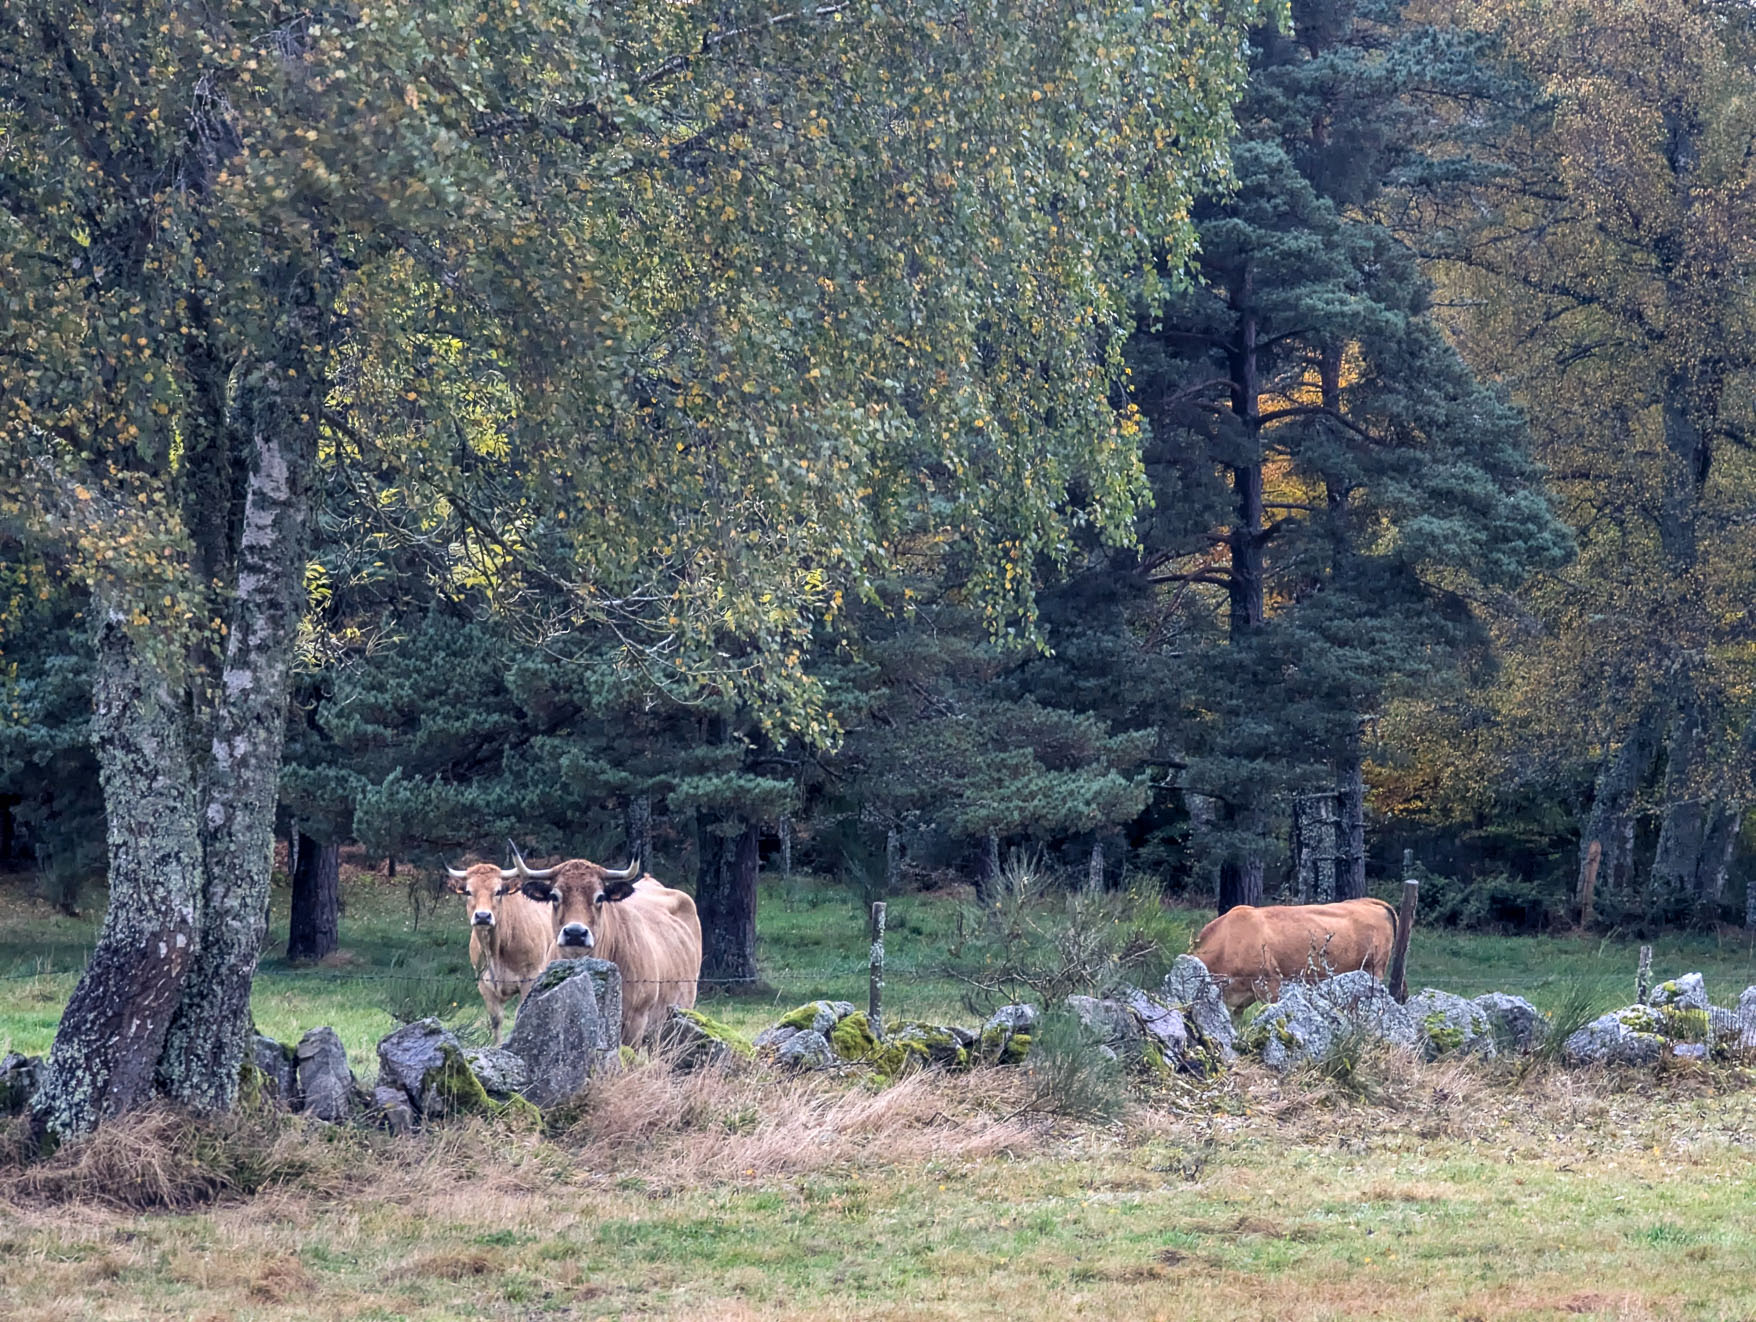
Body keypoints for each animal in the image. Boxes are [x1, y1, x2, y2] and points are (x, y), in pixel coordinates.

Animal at [446, 860, 564, 1044]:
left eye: (498, 891)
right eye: (469, 892)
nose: (482, 916)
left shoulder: (529, 979)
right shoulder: (483, 983)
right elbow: (496, 1019)